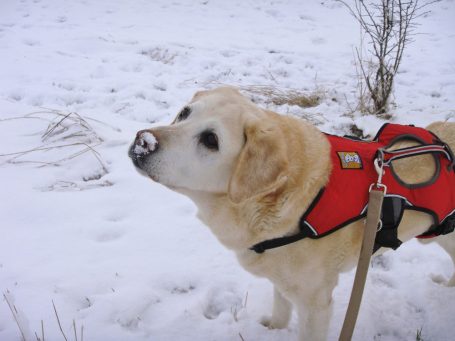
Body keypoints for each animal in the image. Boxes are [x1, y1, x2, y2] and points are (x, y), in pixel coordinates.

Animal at [129, 86, 455, 338]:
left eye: (211, 140)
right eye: (184, 113)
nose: (143, 141)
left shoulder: (316, 303)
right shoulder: (282, 277)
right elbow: (280, 307)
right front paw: (272, 328)